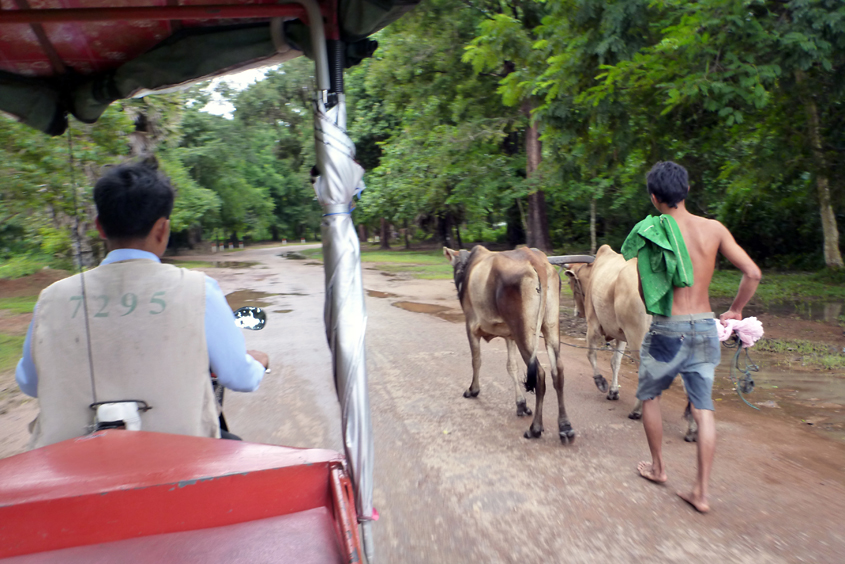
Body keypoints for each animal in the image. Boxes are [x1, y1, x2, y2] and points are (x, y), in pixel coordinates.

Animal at [442, 247, 572, 446]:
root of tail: (535, 259)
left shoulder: (471, 327)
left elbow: (476, 360)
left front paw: (473, 389)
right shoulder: (509, 335)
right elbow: (512, 367)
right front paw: (521, 404)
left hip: (524, 332)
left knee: (539, 374)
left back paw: (535, 428)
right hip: (549, 326)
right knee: (557, 371)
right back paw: (565, 427)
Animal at [564, 245, 696, 442]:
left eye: (571, 284)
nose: (577, 312)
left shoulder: (593, 325)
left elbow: (591, 354)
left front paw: (601, 382)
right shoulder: (620, 335)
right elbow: (615, 362)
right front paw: (613, 391)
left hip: (638, 337)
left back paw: (637, 411)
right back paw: (692, 429)